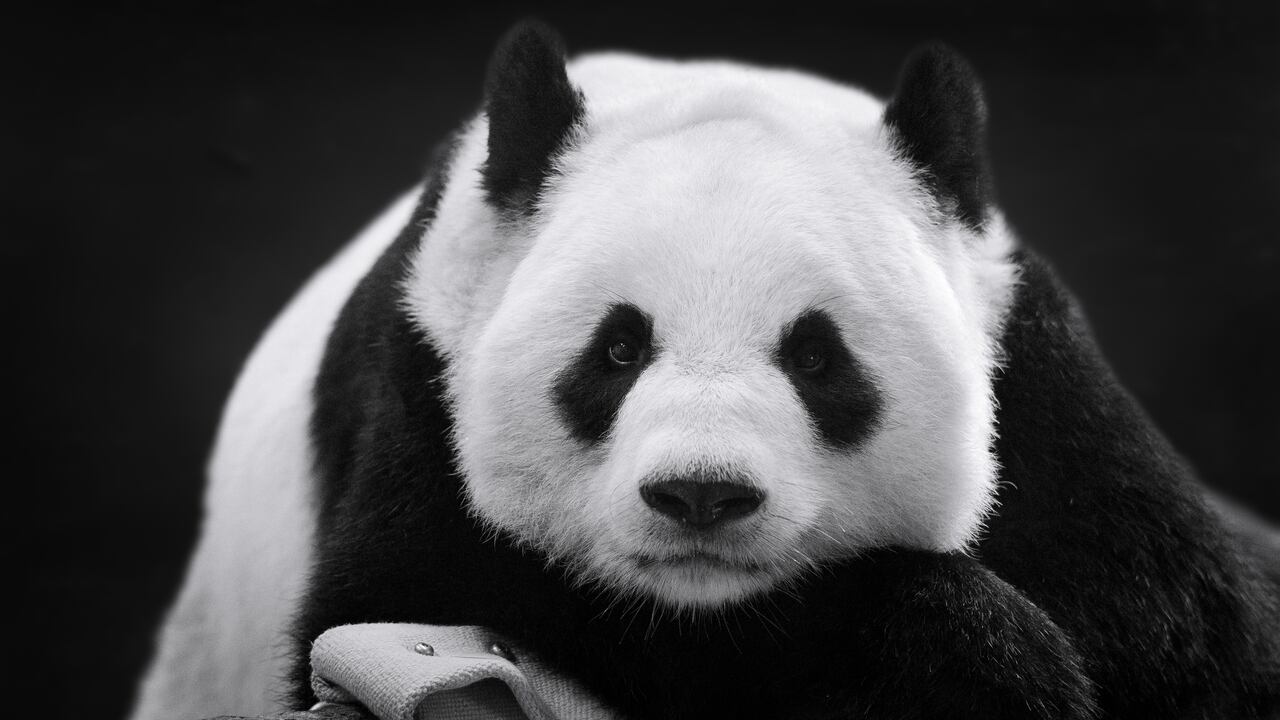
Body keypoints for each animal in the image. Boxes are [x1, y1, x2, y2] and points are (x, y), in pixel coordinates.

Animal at [130, 20, 1280, 720]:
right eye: (617, 349)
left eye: (816, 356)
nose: (699, 496)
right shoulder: (422, 386)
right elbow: (406, 600)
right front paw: (968, 654)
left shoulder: (1050, 410)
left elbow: (1196, 644)